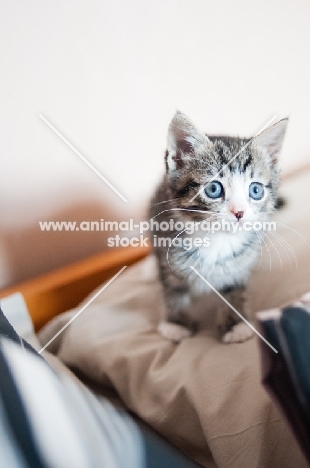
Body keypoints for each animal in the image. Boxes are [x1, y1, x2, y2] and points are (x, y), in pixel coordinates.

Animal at [150, 111, 288, 342]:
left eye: (256, 190)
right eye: (213, 189)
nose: (239, 212)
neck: (215, 238)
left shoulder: (240, 263)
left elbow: (235, 288)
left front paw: (236, 324)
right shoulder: (166, 249)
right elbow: (174, 287)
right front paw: (176, 323)